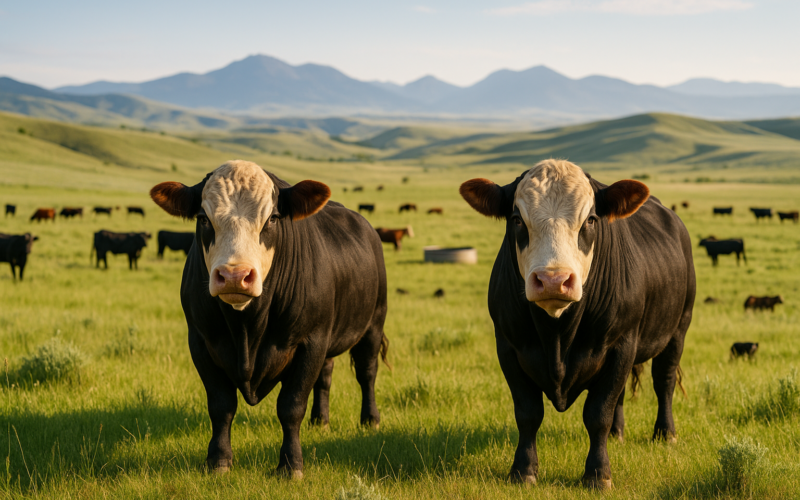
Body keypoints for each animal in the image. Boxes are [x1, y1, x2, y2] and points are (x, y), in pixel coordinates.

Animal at [149, 160, 389, 478]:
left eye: (273, 218)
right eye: (203, 218)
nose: (234, 275)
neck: (246, 331)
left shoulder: (310, 341)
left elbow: (291, 406)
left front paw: (290, 465)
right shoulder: (201, 342)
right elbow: (221, 405)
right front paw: (218, 460)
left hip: (373, 324)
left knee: (367, 373)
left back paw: (370, 419)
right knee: (325, 377)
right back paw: (320, 420)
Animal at [459, 159, 695, 489]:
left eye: (591, 220)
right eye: (517, 219)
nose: (553, 280)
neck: (558, 338)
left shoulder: (621, 344)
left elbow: (598, 414)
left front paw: (598, 474)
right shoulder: (508, 347)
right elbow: (528, 413)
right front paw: (523, 470)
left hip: (677, 331)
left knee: (664, 381)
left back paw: (665, 433)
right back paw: (617, 435)